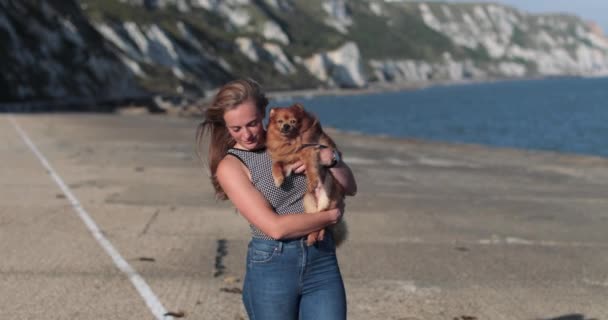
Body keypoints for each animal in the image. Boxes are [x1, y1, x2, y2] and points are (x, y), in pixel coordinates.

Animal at [266, 104, 346, 246]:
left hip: (329, 201)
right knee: (318, 222)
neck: (291, 141)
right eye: (280, 121)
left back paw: (315, 237)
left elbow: (310, 167)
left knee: (323, 224)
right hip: (309, 202)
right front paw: (278, 179)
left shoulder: (310, 151)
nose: (286, 126)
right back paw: (312, 237)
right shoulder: (290, 160)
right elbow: (276, 164)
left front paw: (313, 181)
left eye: (293, 121)